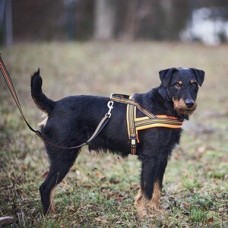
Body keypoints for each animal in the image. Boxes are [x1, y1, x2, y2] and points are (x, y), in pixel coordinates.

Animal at [30, 67, 205, 216]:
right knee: (45, 187)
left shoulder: (162, 157)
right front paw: (144, 214)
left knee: (49, 188)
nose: (189, 103)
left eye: (194, 84)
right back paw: (50, 216)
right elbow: (147, 188)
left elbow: (157, 187)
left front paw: (155, 211)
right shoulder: (151, 158)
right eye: (177, 84)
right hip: (63, 158)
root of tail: (53, 106)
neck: (164, 105)